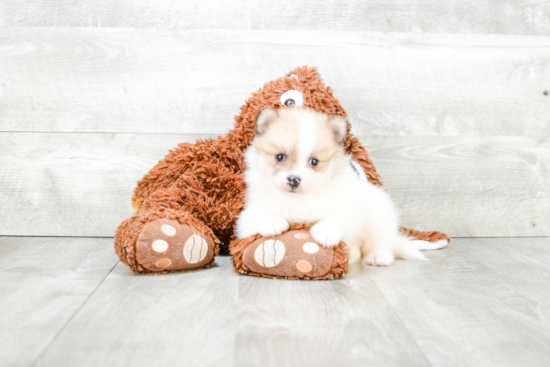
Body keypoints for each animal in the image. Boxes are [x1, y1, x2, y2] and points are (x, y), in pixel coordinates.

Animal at [236, 108, 448, 266]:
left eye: (314, 161)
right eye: (279, 157)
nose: (294, 179)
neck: (299, 200)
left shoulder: (348, 209)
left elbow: (336, 217)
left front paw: (325, 231)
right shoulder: (244, 219)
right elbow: (255, 219)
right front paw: (272, 222)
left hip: (378, 212)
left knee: (380, 240)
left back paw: (378, 256)